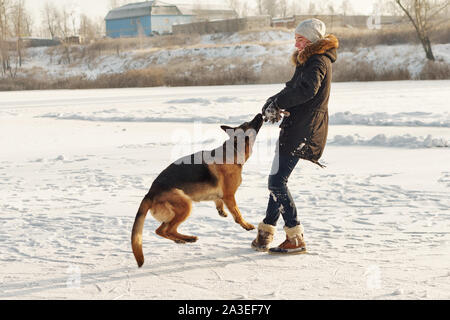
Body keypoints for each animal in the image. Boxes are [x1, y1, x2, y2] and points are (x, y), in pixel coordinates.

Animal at [131, 113, 264, 268]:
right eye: (248, 123)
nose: (260, 114)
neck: (234, 150)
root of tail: (150, 193)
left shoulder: (221, 196)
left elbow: (218, 201)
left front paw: (221, 211)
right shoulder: (229, 196)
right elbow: (237, 213)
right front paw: (245, 225)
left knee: (162, 230)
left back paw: (182, 239)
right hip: (185, 205)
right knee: (166, 229)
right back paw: (187, 238)